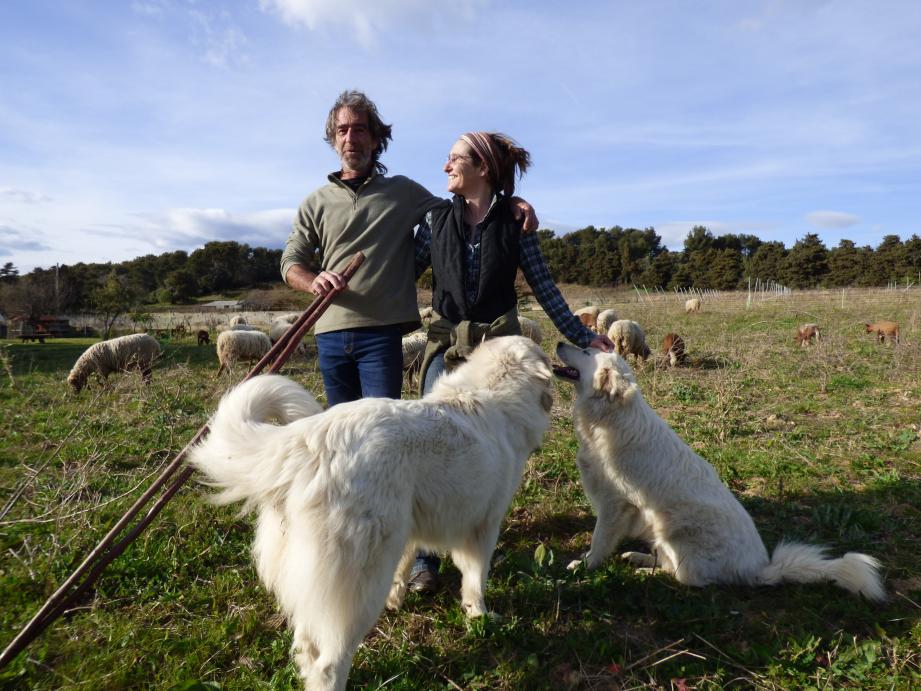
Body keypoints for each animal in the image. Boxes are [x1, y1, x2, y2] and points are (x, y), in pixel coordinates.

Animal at [183, 336, 548, 691]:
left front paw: (398, 599)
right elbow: (475, 579)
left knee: (306, 645)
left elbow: (406, 565)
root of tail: (309, 440)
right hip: (358, 589)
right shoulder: (483, 527)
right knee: (329, 664)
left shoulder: (411, 528)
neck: (493, 393)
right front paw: (480, 617)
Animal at [552, 344, 884, 604]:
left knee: (684, 577)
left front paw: (584, 565)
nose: (558, 342)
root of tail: (760, 570)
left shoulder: (615, 504)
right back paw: (639, 558)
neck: (609, 416)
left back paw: (644, 573)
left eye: (585, 351)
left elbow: (599, 541)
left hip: (673, 529)